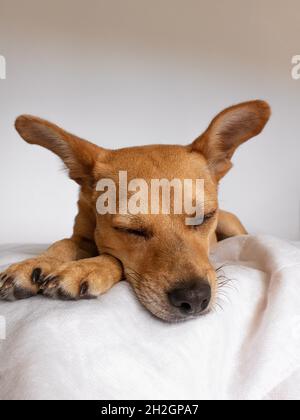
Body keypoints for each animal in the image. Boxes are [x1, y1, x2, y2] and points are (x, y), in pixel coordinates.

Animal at [0, 101, 270, 322]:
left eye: (204, 217)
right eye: (129, 230)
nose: (194, 298)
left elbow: (114, 258)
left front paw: (87, 267)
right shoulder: (82, 237)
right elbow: (63, 243)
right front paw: (36, 264)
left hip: (231, 225)